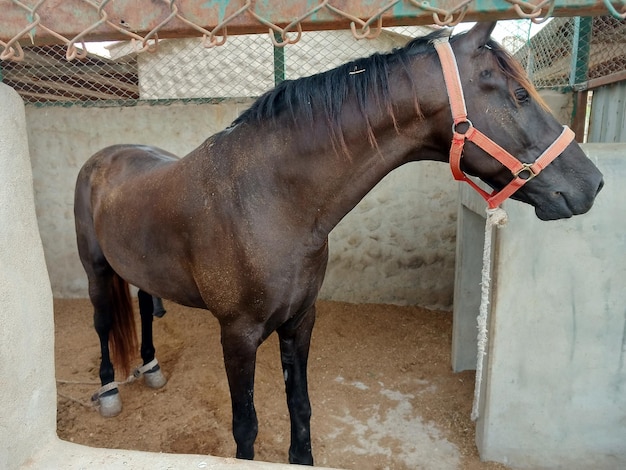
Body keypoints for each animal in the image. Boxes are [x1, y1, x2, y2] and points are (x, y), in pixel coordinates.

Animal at [73, 22, 600, 462]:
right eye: (519, 94)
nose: (592, 183)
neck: (269, 200)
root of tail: (103, 158)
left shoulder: (300, 321)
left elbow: (301, 409)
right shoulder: (237, 335)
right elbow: (246, 426)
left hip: (140, 271)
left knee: (144, 308)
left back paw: (151, 368)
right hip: (97, 274)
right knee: (101, 323)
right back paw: (110, 391)